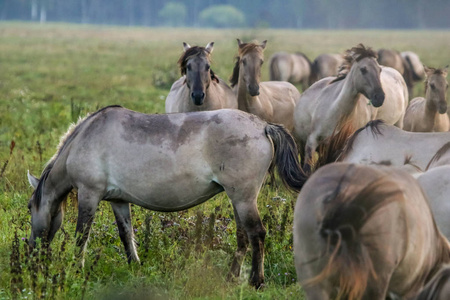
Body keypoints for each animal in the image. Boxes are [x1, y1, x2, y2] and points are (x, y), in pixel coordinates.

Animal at [27, 105, 306, 288]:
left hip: (244, 198)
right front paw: (135, 266)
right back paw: (230, 278)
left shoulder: (88, 195)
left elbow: (81, 237)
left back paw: (256, 281)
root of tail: (263, 126)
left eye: (30, 207)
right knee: (243, 236)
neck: (85, 139)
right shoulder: (119, 201)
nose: (32, 251)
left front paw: (77, 270)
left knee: (256, 234)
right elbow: (126, 235)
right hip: (238, 199)